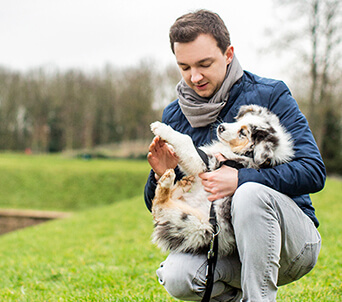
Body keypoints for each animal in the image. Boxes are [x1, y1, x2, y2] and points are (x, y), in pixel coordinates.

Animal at [150, 104, 294, 258]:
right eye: (239, 121)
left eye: (243, 133)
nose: (220, 127)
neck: (246, 153)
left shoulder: (207, 163)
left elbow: (186, 140)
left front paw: (161, 128)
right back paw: (182, 184)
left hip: (196, 226)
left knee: (159, 205)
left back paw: (167, 180)